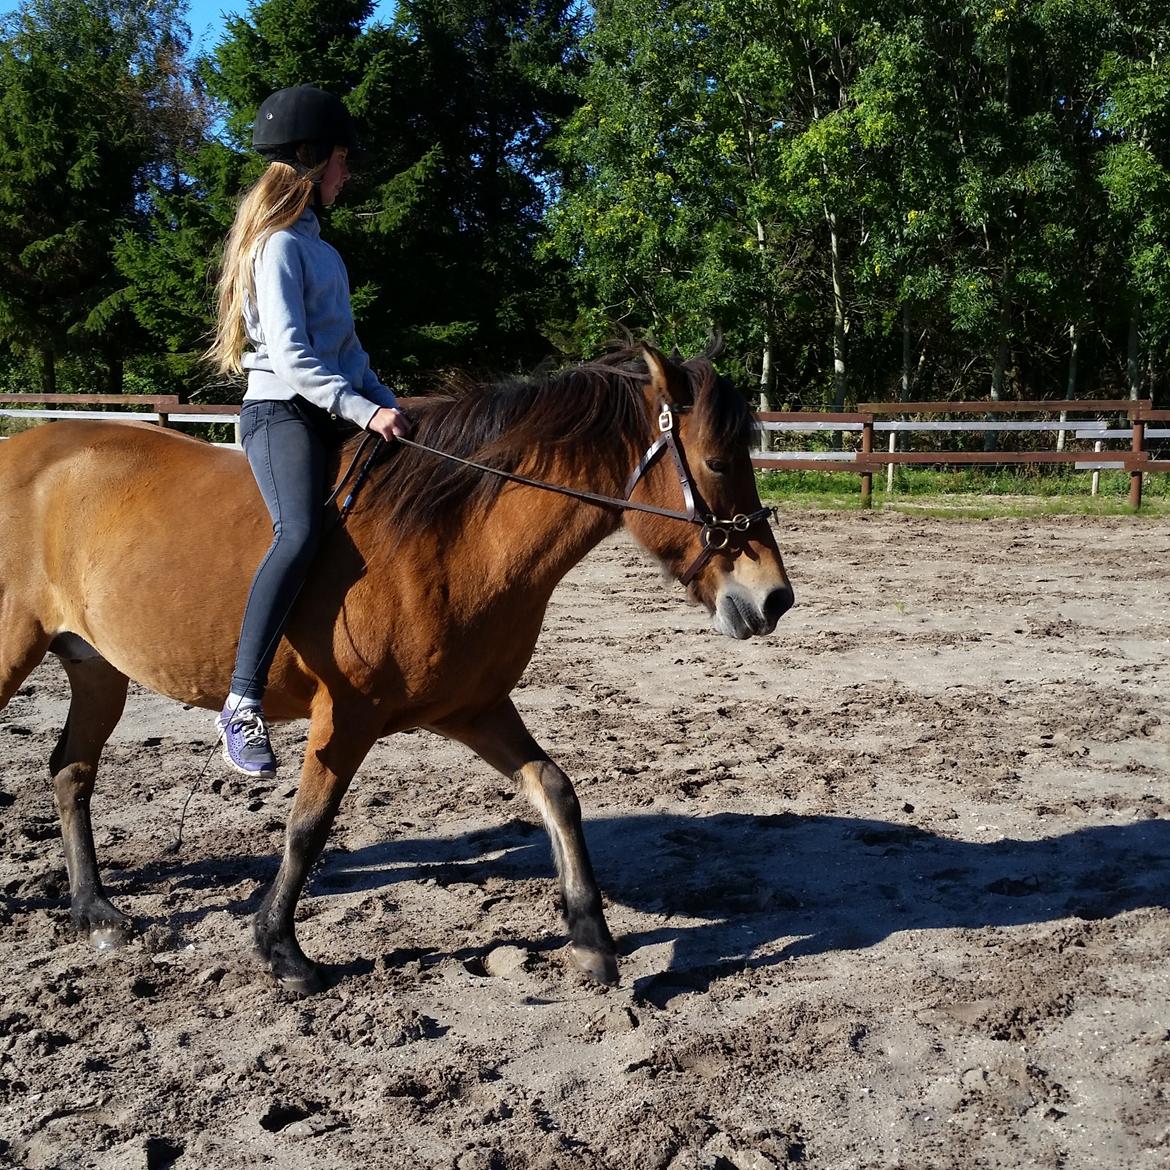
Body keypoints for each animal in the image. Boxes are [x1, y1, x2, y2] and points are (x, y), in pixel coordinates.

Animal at [0, 341, 795, 992]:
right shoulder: (346, 714)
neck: (452, 537)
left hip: (97, 668)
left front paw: (592, 939)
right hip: (15, 652)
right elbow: (308, 826)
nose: (774, 598)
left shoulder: (474, 709)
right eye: (718, 462)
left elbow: (554, 791)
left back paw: (95, 911)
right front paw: (279, 950)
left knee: (71, 771)